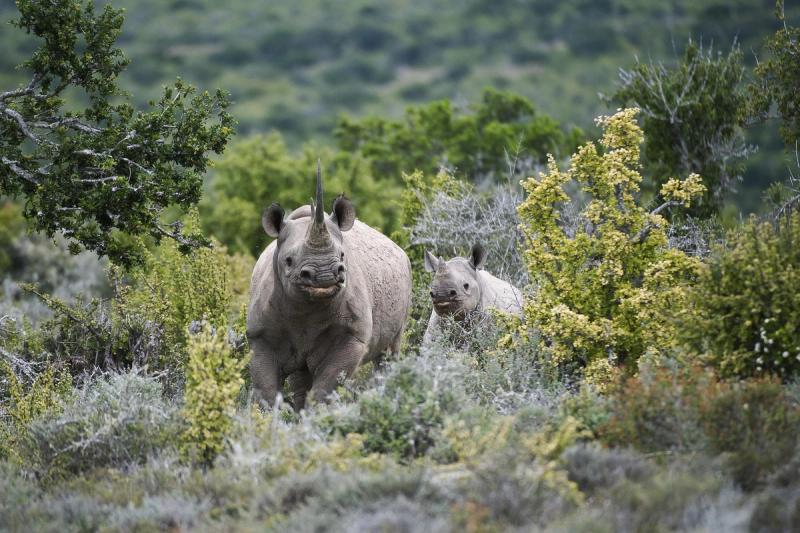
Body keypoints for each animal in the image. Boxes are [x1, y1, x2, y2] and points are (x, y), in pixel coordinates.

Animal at [246, 162, 412, 409]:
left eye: (342, 256)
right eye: (288, 261)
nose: (325, 275)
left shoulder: (352, 337)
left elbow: (324, 388)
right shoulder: (260, 337)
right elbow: (267, 391)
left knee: (388, 353)